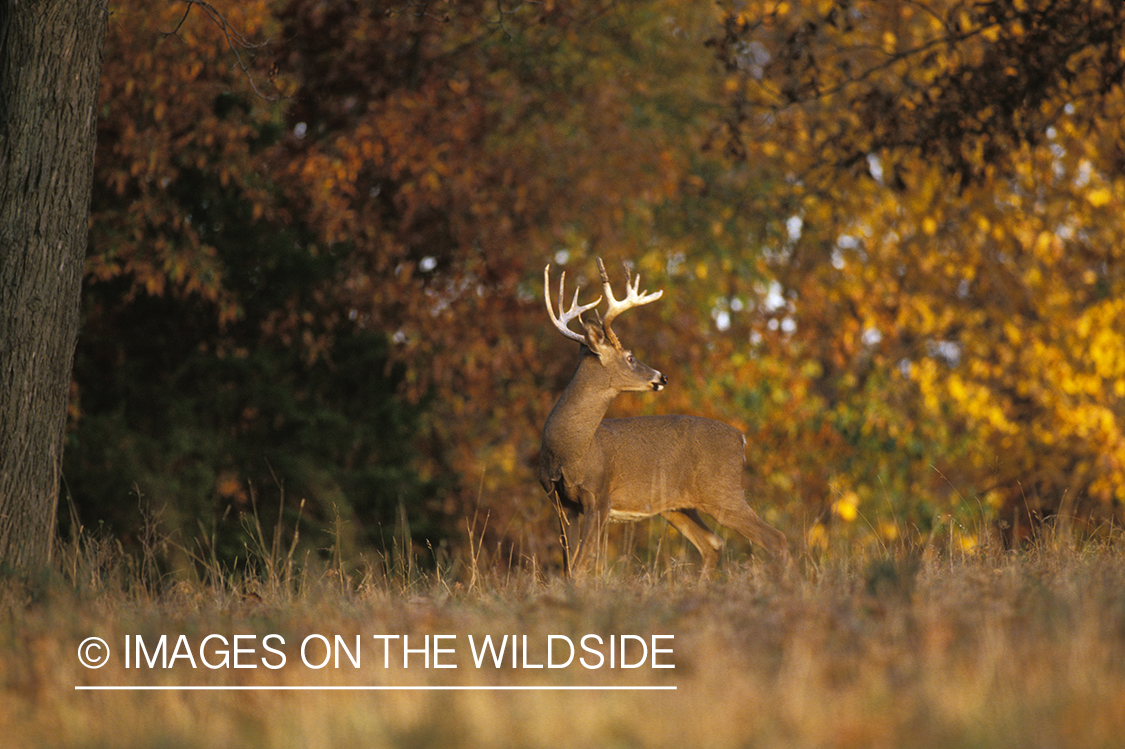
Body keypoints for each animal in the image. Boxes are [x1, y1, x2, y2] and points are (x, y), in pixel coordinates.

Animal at [537, 259, 792, 573]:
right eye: (630, 357)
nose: (662, 377)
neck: (569, 449)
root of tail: (741, 438)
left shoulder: (599, 497)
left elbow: (582, 565)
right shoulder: (561, 501)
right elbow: (570, 566)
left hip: (723, 491)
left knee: (775, 539)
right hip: (677, 505)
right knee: (714, 542)